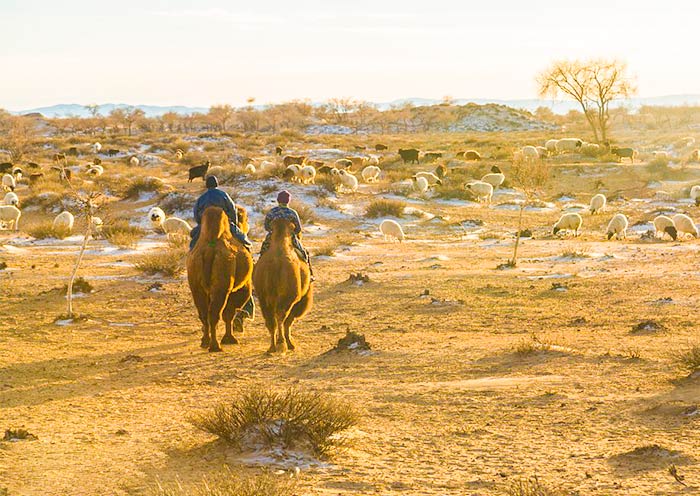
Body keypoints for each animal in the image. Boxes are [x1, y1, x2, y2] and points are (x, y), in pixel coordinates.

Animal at [187, 206, 253, 352]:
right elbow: (229, 312)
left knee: (204, 313)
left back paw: (205, 341)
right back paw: (215, 346)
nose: (247, 225)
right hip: (221, 287)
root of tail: (209, 251)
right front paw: (229, 339)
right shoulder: (241, 287)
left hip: (196, 285)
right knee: (215, 313)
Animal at [253, 217, 313, 353]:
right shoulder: (298, 299)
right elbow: (289, 321)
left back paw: (272, 347)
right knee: (280, 316)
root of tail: (275, 266)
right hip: (288, 297)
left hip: (263, 298)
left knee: (270, 320)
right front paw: (291, 344)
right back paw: (281, 343)